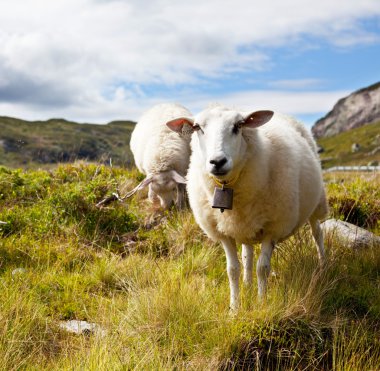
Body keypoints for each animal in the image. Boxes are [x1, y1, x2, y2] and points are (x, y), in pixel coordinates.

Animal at [168, 104, 328, 310]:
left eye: (238, 126)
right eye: (198, 128)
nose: (217, 162)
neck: (227, 187)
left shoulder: (273, 228)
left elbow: (263, 268)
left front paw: (261, 304)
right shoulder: (223, 232)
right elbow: (232, 269)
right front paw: (234, 308)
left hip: (316, 202)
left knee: (317, 233)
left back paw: (323, 265)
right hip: (245, 225)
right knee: (247, 254)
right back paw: (247, 283)